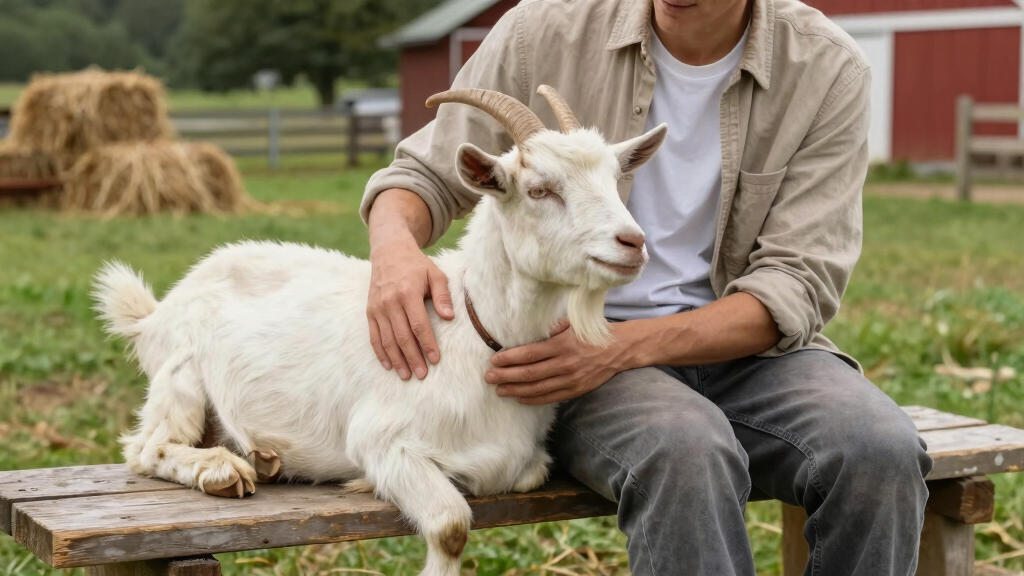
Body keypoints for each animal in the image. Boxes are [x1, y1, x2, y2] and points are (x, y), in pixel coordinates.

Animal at [92, 86, 667, 576]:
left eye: (614, 181)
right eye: (539, 189)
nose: (632, 242)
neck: (475, 337)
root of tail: (156, 312)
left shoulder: (527, 462)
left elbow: (522, 473)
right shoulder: (382, 441)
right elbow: (452, 524)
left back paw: (263, 458)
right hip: (181, 374)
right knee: (146, 449)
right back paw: (221, 469)